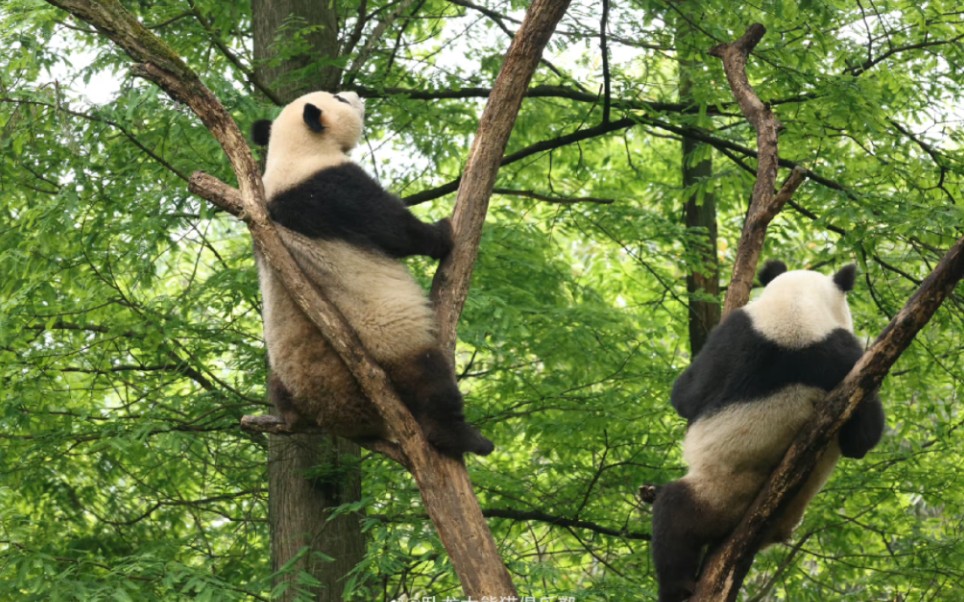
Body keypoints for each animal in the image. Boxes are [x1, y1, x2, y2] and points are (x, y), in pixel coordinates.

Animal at [252, 89, 494, 454]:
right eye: (338, 98)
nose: (356, 93)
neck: (294, 150)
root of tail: (337, 416)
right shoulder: (329, 187)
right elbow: (391, 228)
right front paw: (442, 234)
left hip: (284, 368)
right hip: (387, 336)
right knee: (428, 377)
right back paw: (462, 436)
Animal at [652, 258, 884, 600]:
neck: (798, 311)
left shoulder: (735, 334)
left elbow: (687, 394)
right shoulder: (850, 357)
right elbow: (862, 438)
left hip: (722, 494)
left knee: (674, 518)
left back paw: (677, 586)